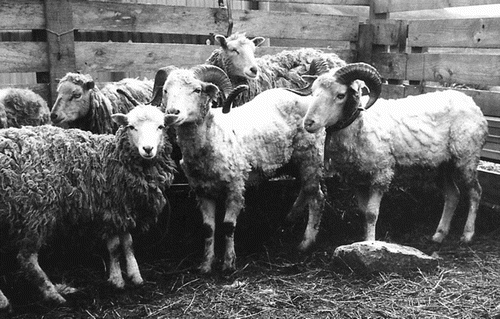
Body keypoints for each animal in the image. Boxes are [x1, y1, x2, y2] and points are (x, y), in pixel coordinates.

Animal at [0, 100, 176, 308]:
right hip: (35, 211)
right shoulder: (109, 210)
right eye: (131, 127)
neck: (112, 157)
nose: (148, 149)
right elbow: (114, 247)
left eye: (161, 126)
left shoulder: (121, 208)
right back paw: (53, 294)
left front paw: (135, 276)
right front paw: (117, 280)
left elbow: (128, 243)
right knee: (27, 259)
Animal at [160, 65, 324, 276]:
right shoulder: (202, 191)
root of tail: (307, 98)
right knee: (306, 190)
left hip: (310, 156)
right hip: (293, 162)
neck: (214, 135)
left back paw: (306, 243)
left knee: (316, 196)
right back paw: (290, 219)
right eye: (166, 90)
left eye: (197, 90)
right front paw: (206, 265)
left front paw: (229, 264)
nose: (172, 113)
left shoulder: (235, 187)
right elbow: (208, 228)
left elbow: (228, 226)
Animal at [300, 63, 488, 245]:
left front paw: (370, 243)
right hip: (442, 165)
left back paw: (467, 235)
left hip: (467, 156)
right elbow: (363, 211)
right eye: (313, 92)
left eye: (340, 95)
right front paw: (362, 242)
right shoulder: (357, 178)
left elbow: (371, 213)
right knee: (453, 195)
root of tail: (470, 101)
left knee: (475, 192)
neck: (359, 121)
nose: (308, 123)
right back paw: (439, 235)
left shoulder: (381, 173)